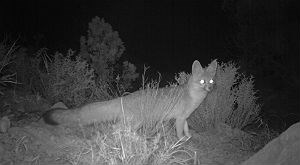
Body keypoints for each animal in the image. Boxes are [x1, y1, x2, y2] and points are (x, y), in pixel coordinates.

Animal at [43, 59, 217, 139]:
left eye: (211, 81)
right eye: (202, 82)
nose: (209, 89)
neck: (192, 96)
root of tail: (124, 98)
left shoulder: (184, 118)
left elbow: (187, 130)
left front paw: (188, 138)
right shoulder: (179, 119)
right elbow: (180, 133)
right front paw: (181, 142)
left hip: (134, 123)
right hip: (136, 122)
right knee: (116, 129)